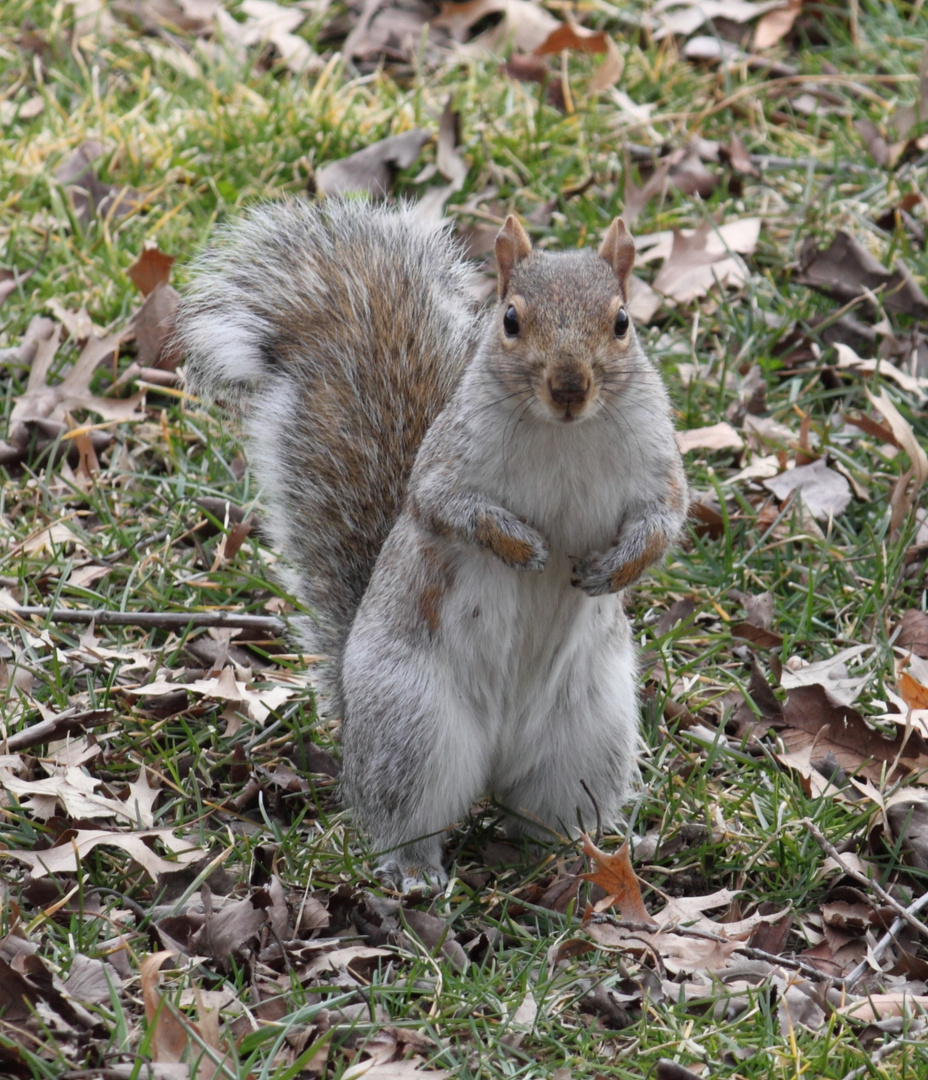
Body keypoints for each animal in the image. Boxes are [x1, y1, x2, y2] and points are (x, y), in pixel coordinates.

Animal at [178, 198, 691, 889]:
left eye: (622, 323)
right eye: (510, 320)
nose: (569, 387)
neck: (564, 432)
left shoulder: (657, 467)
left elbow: (664, 521)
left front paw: (615, 569)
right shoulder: (445, 466)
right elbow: (448, 509)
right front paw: (521, 547)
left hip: (588, 740)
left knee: (544, 816)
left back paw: (566, 861)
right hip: (413, 728)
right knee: (404, 815)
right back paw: (415, 870)